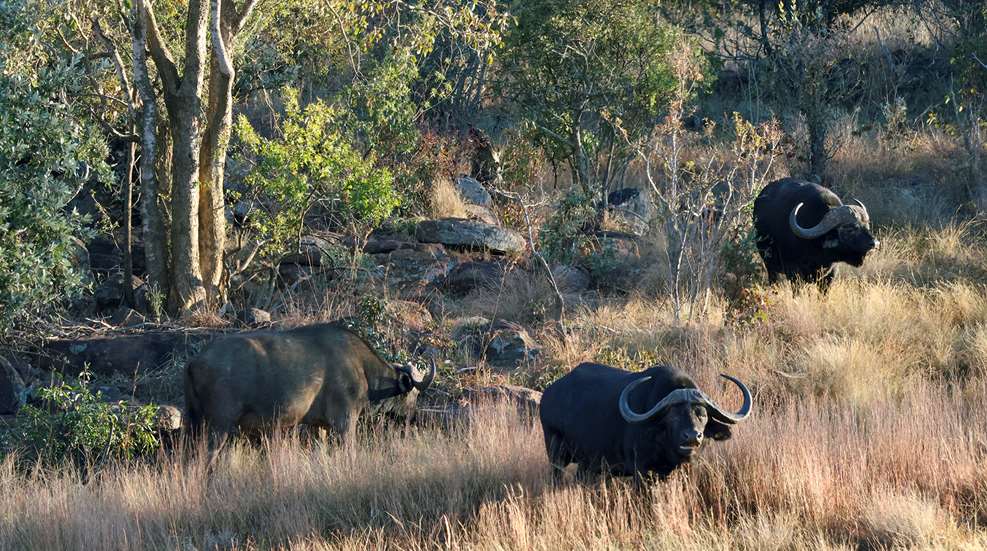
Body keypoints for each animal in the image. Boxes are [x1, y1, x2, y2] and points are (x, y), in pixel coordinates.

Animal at [185, 322, 435, 445]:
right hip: (219, 426)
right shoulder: (344, 421)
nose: (414, 419)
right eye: (412, 394)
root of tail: (194, 361)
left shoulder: (319, 426)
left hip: (196, 424)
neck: (362, 367)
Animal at [539, 363, 752, 480]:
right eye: (673, 416)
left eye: (703, 415)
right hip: (556, 454)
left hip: (588, 463)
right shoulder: (640, 471)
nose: (692, 436)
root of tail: (548, 395)